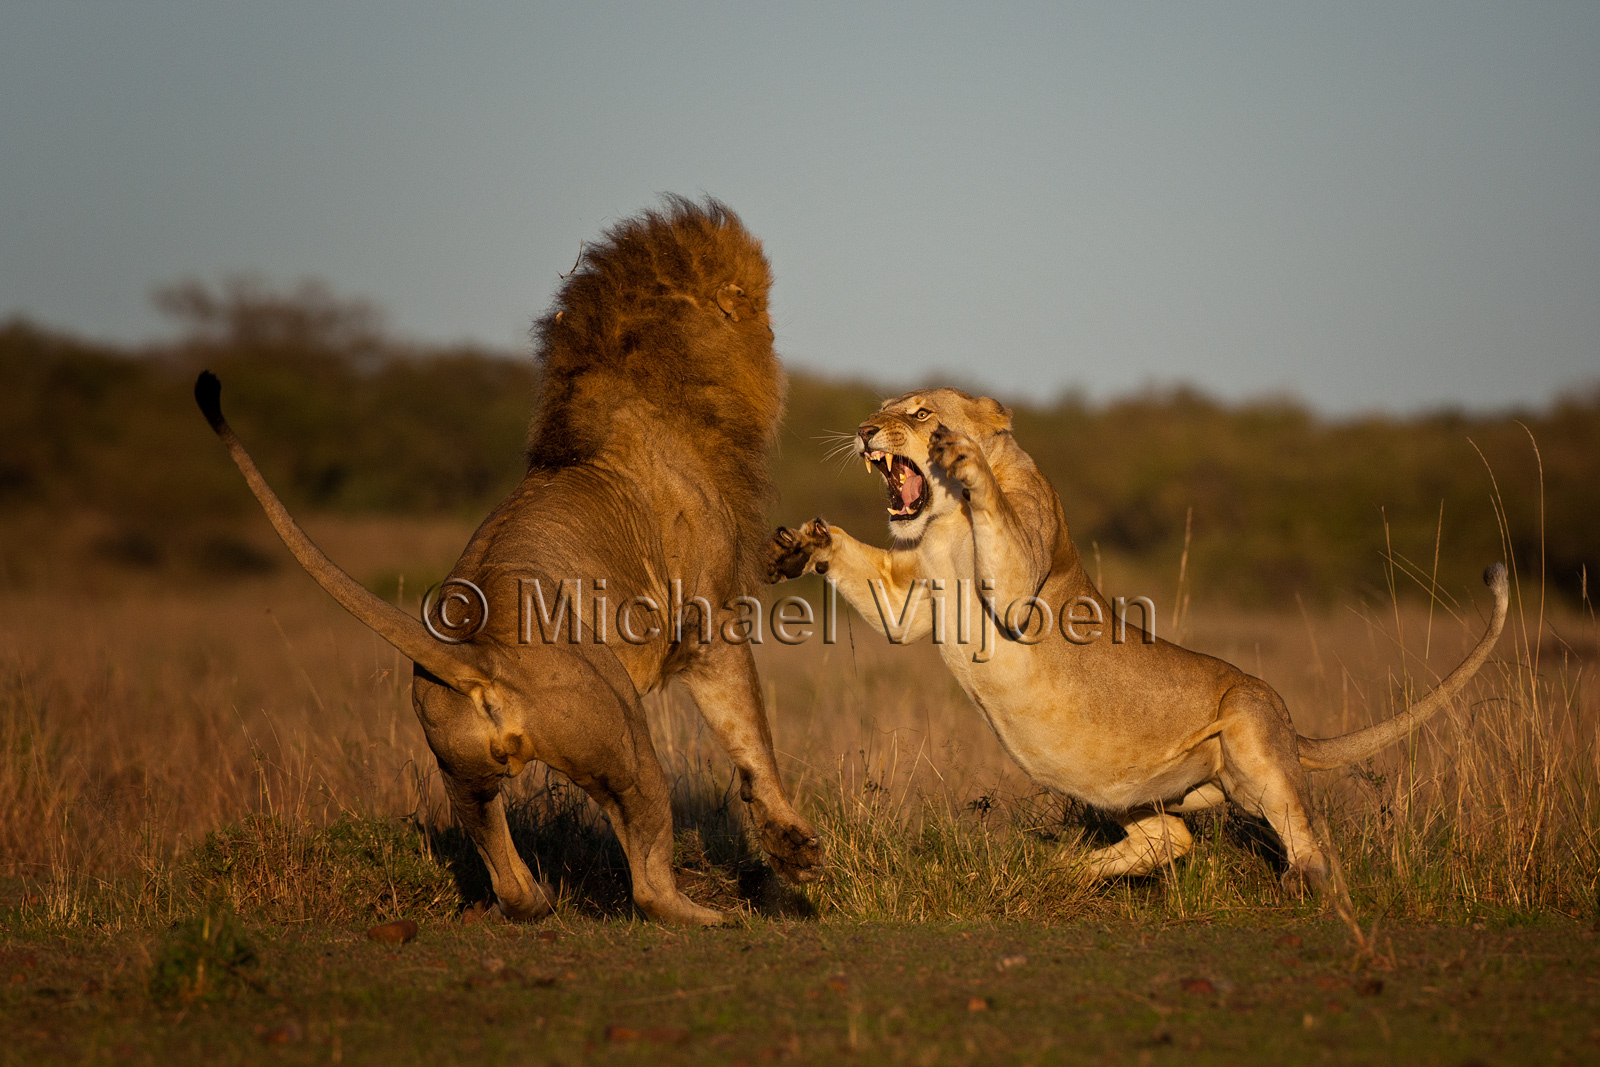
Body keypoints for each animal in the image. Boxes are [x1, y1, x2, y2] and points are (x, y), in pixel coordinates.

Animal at [196, 197, 822, 925]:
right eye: (758, 310)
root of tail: (476, 660)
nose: (773, 336)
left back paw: (540, 901)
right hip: (622, 737)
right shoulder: (707, 619)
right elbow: (750, 735)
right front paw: (794, 848)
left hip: (460, 768)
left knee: (505, 869)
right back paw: (709, 916)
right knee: (647, 876)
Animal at [767, 387, 1507, 889]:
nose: (865, 430)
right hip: (1141, 793)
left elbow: (995, 514)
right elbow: (865, 574)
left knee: (1308, 839)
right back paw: (1066, 871)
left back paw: (1308, 888)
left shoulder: (1020, 582)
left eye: (921, 413)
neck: (945, 519)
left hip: (1250, 730)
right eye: (882, 409)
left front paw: (968, 460)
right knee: (1172, 836)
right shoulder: (910, 603)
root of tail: (1294, 728)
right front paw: (806, 543)